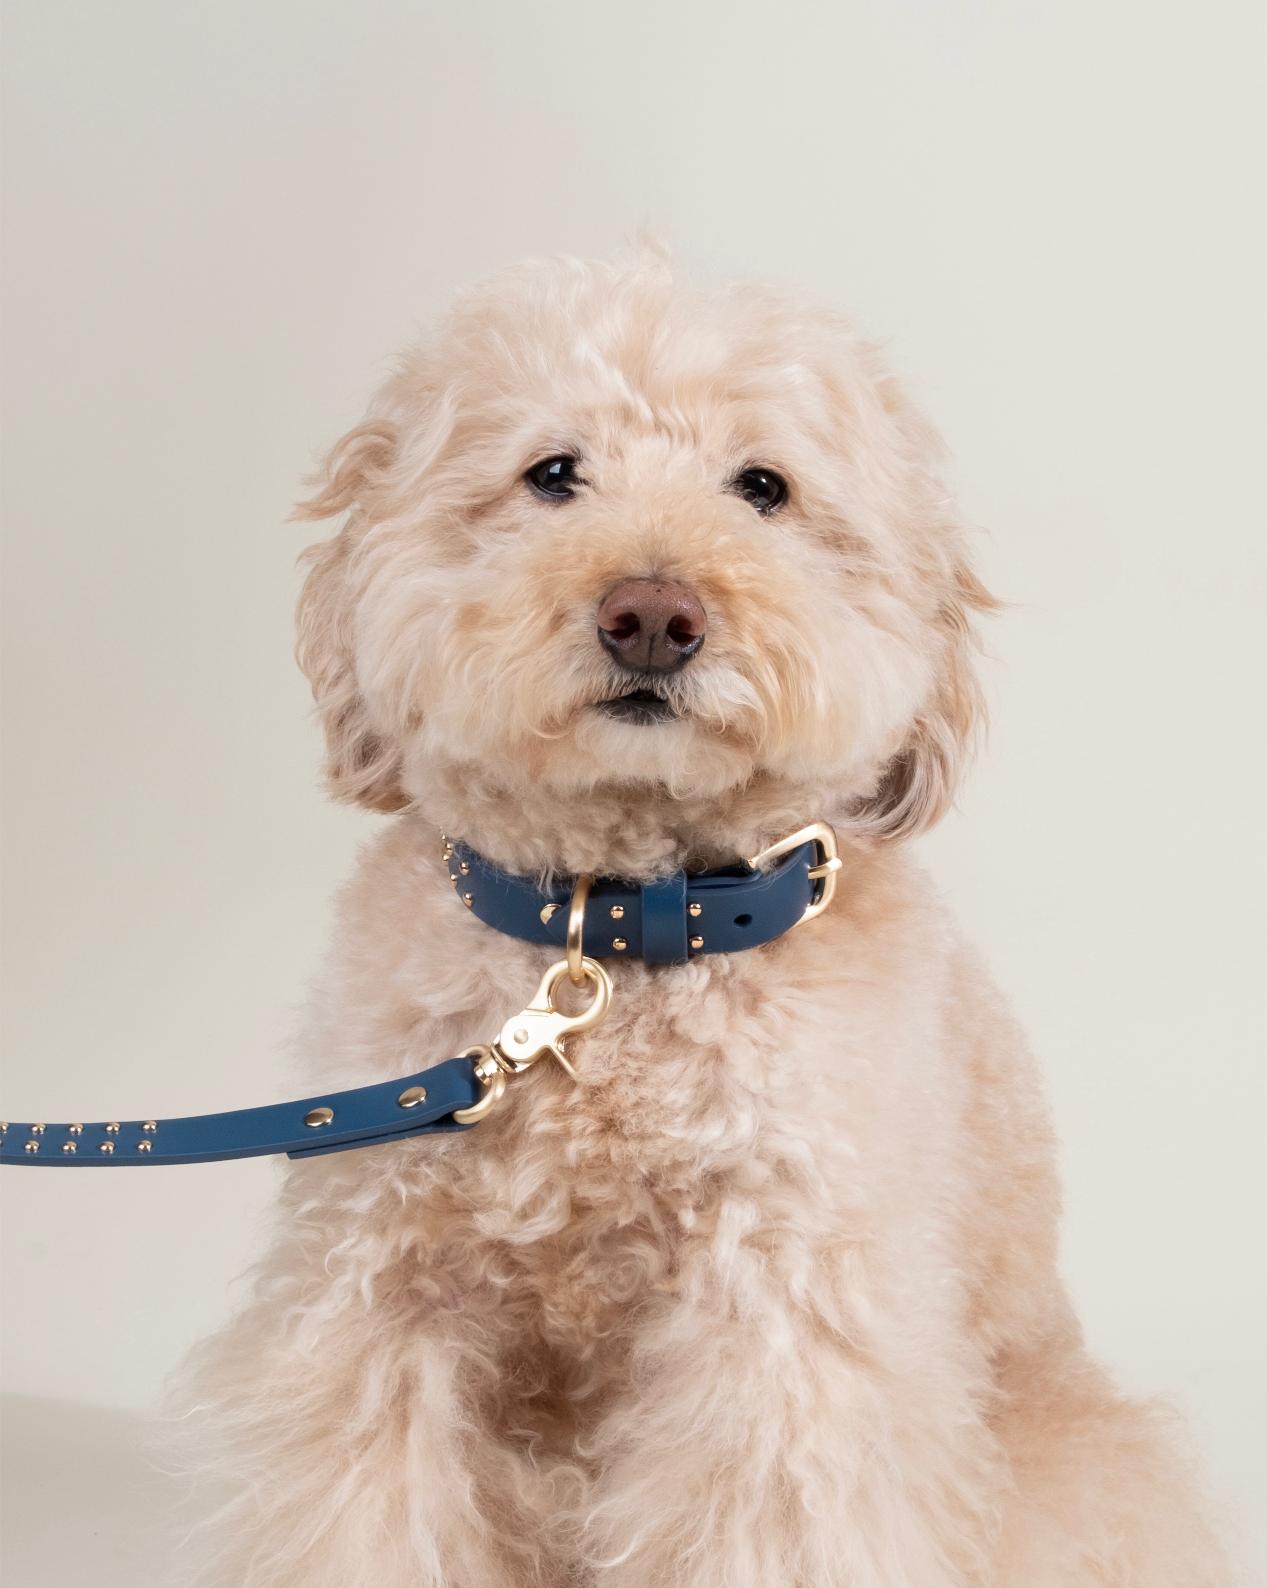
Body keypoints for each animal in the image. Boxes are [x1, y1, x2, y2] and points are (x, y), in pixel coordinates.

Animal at [173, 250, 1238, 1588]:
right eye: (554, 472)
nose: (651, 615)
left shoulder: (779, 1337)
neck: (620, 938)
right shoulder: (375, 1293)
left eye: (763, 487)